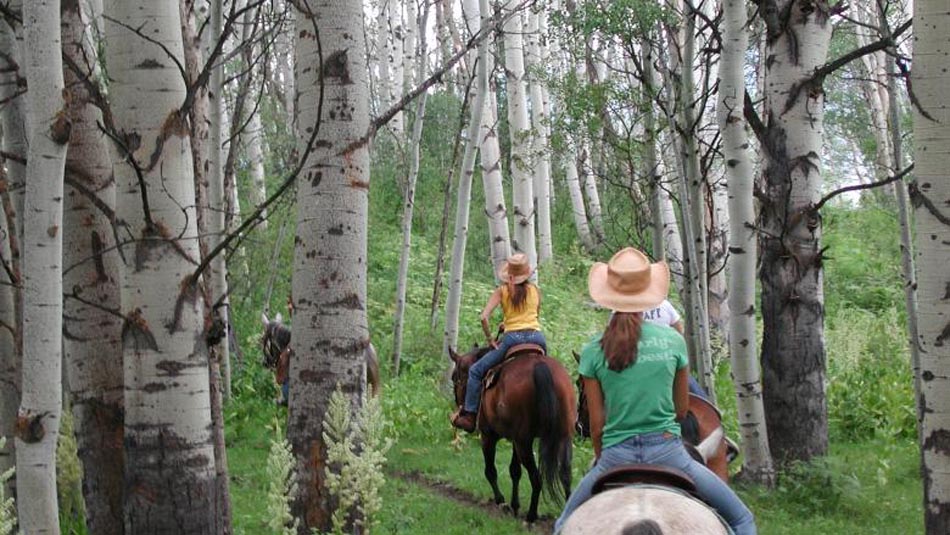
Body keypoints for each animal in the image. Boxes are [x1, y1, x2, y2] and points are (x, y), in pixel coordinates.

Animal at [450, 344, 576, 524]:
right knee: (565, 475)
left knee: (536, 478)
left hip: (524, 442)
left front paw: (501, 501)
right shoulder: (516, 439)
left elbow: (490, 471)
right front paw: (515, 505)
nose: (459, 406)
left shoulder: (488, 436)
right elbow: (515, 471)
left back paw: (531, 516)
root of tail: (540, 366)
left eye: (454, 377)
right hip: (561, 437)